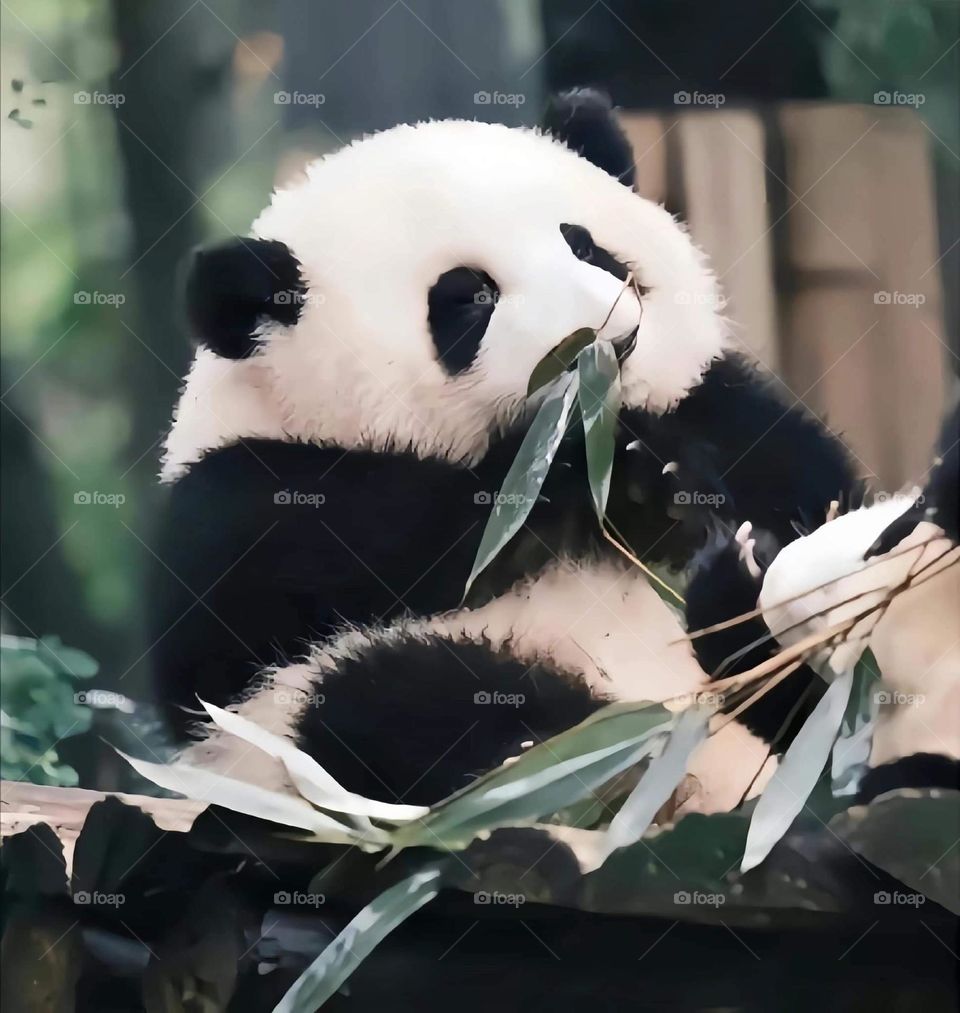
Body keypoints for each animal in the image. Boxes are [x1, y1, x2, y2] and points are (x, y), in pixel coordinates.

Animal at [151, 90, 856, 810]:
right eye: (470, 295)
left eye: (586, 246)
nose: (610, 342)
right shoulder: (239, 497)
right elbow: (251, 618)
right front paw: (603, 482)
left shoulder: (717, 403)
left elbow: (811, 490)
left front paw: (661, 485)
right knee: (398, 698)